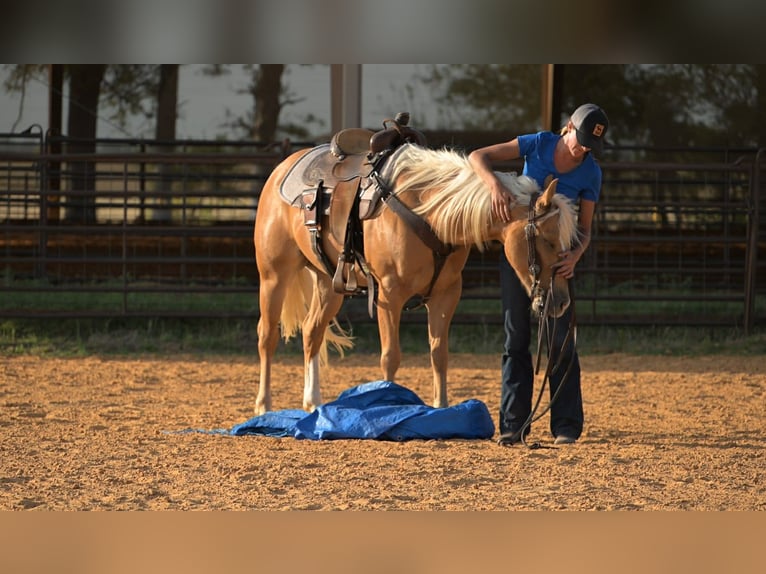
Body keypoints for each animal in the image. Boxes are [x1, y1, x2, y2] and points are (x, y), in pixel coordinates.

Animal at [253, 143, 579, 415]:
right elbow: (390, 356)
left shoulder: (446, 294)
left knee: (312, 332)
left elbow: (439, 354)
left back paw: (314, 403)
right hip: (273, 277)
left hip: (329, 283)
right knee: (267, 336)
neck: (430, 213)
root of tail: (283, 168)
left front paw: (441, 407)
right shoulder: (388, 296)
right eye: (548, 240)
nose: (562, 302)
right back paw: (264, 406)